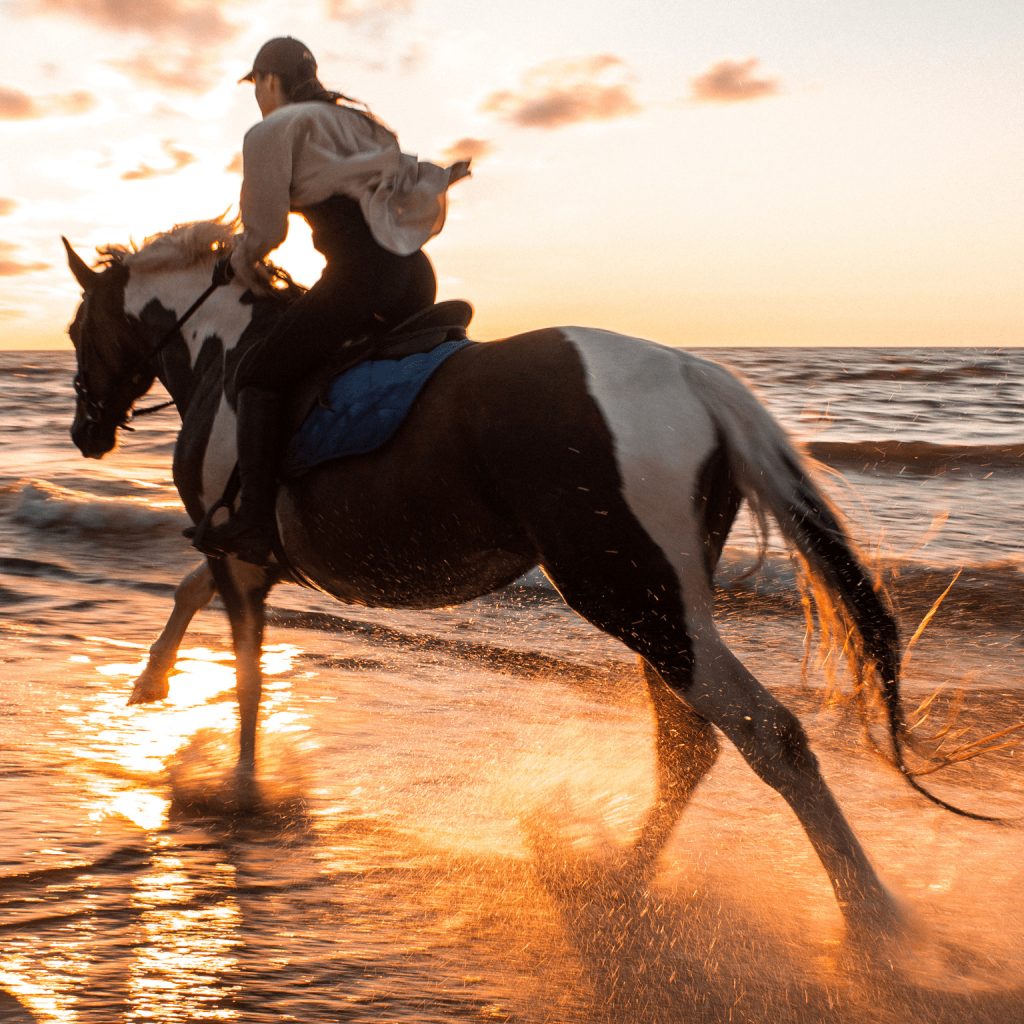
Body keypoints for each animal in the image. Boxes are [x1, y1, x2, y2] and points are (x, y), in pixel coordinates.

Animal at [62, 218, 962, 936]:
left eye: (77, 328)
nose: (85, 433)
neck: (225, 354)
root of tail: (691, 378)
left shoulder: (240, 553)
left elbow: (247, 677)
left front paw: (241, 788)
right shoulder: (247, 557)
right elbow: (193, 596)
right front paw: (151, 684)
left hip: (629, 596)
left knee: (764, 734)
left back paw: (871, 920)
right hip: (657, 599)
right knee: (690, 745)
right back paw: (622, 873)